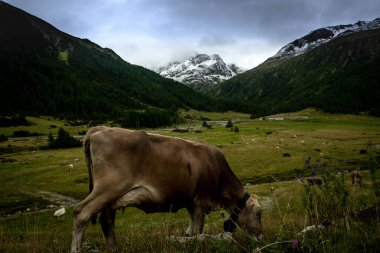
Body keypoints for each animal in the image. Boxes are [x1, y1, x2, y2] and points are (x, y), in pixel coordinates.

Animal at [70, 126, 262, 253]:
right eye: (258, 213)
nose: (261, 236)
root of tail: (99, 129)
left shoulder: (191, 203)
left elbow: (190, 231)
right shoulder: (200, 202)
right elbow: (198, 231)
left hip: (111, 195)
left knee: (107, 220)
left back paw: (114, 249)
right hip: (109, 186)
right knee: (82, 212)